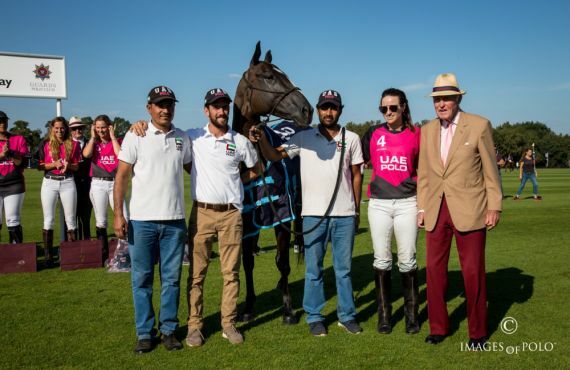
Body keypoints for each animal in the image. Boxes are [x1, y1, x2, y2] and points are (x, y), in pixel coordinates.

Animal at [230, 41, 312, 324]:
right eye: (268, 76)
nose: (307, 110)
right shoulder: (246, 222)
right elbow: (247, 262)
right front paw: (248, 307)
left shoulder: (281, 215)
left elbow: (281, 261)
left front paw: (288, 309)